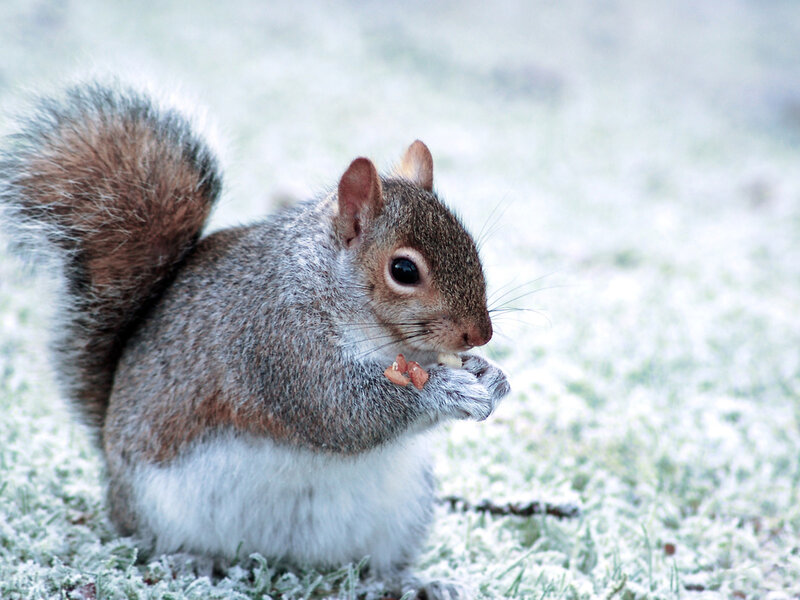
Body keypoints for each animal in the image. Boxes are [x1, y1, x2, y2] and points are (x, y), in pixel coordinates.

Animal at [0, 83, 510, 599]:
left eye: (471, 246)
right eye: (403, 270)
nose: (480, 334)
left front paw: (489, 376)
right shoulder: (275, 342)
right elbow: (343, 412)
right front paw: (447, 389)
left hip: (402, 511)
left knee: (372, 564)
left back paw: (408, 582)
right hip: (158, 506)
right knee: (151, 541)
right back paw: (189, 560)